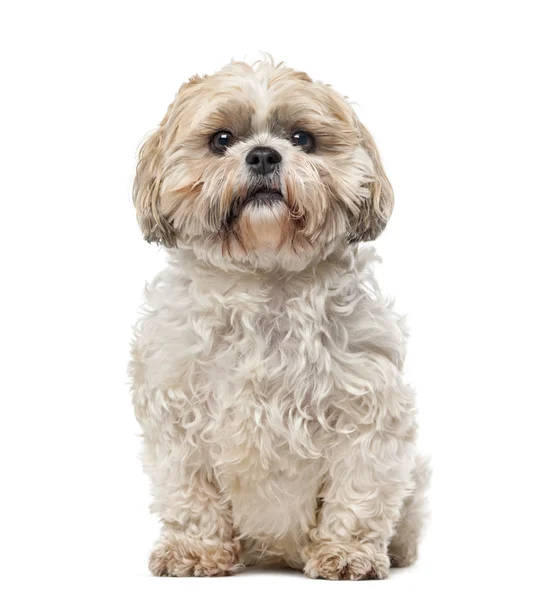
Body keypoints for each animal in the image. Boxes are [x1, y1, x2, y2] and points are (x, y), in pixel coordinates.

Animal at [130, 58, 428, 580]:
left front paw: (346, 553)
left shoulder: (369, 411)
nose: (265, 155)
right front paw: (195, 550)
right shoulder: (177, 413)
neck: (265, 281)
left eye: (302, 138)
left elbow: (359, 491)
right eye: (222, 140)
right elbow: (190, 492)